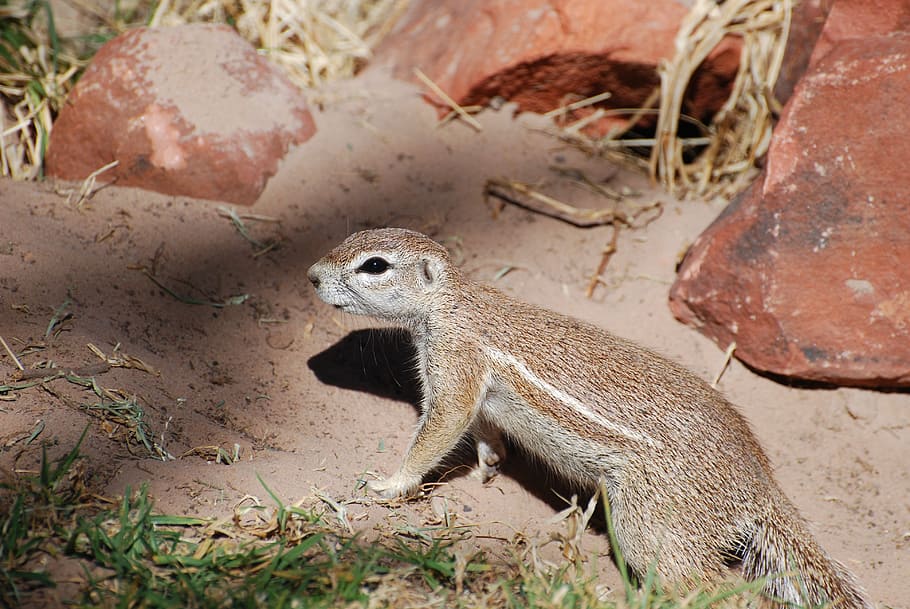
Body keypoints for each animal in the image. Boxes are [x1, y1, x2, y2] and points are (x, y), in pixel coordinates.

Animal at [307, 228, 873, 609]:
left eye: (374, 265)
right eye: (351, 237)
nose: (310, 276)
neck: (452, 302)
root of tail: (758, 481)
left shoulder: (455, 364)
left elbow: (440, 426)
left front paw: (390, 483)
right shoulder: (473, 388)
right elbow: (481, 427)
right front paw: (489, 462)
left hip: (650, 522)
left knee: (709, 588)